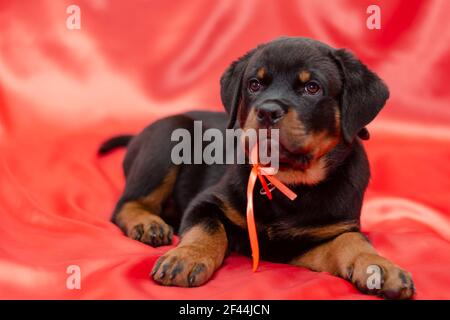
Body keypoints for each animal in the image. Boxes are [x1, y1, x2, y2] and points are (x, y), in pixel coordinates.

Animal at [100, 37, 416, 300]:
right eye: (254, 84)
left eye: (312, 88)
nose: (267, 111)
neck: (286, 181)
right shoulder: (207, 201)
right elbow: (207, 228)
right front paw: (185, 257)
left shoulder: (307, 240)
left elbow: (350, 240)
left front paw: (380, 268)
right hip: (168, 135)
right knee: (126, 203)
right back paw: (148, 224)